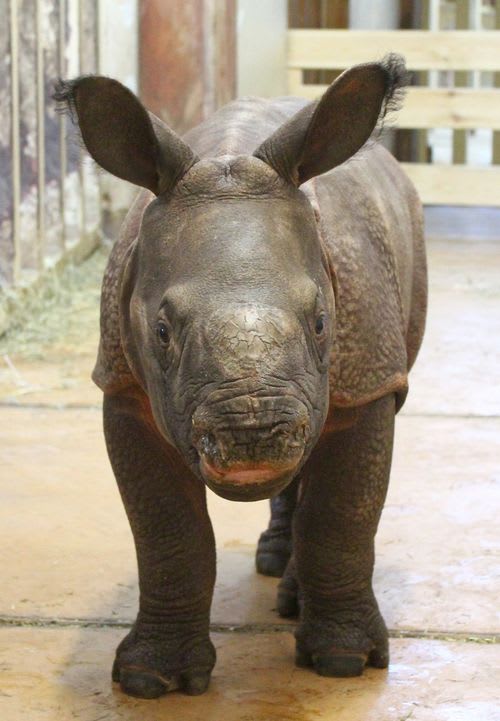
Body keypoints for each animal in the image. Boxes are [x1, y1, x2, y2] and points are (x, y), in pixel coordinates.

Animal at [55, 53, 427, 699]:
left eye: (323, 322)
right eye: (161, 332)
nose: (254, 435)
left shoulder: (369, 379)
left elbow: (342, 513)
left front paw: (343, 663)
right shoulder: (123, 386)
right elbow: (167, 532)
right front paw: (150, 680)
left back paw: (291, 594)